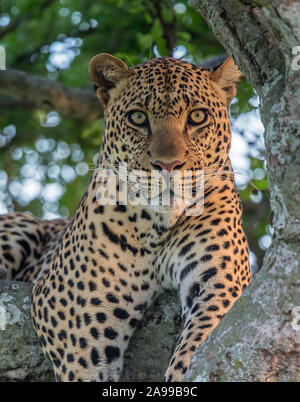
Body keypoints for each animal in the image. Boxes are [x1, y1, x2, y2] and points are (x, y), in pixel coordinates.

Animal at [0, 52, 251, 380]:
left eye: (197, 116)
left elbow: (204, 339)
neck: (158, 227)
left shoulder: (223, 277)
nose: (168, 165)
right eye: (138, 118)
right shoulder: (70, 313)